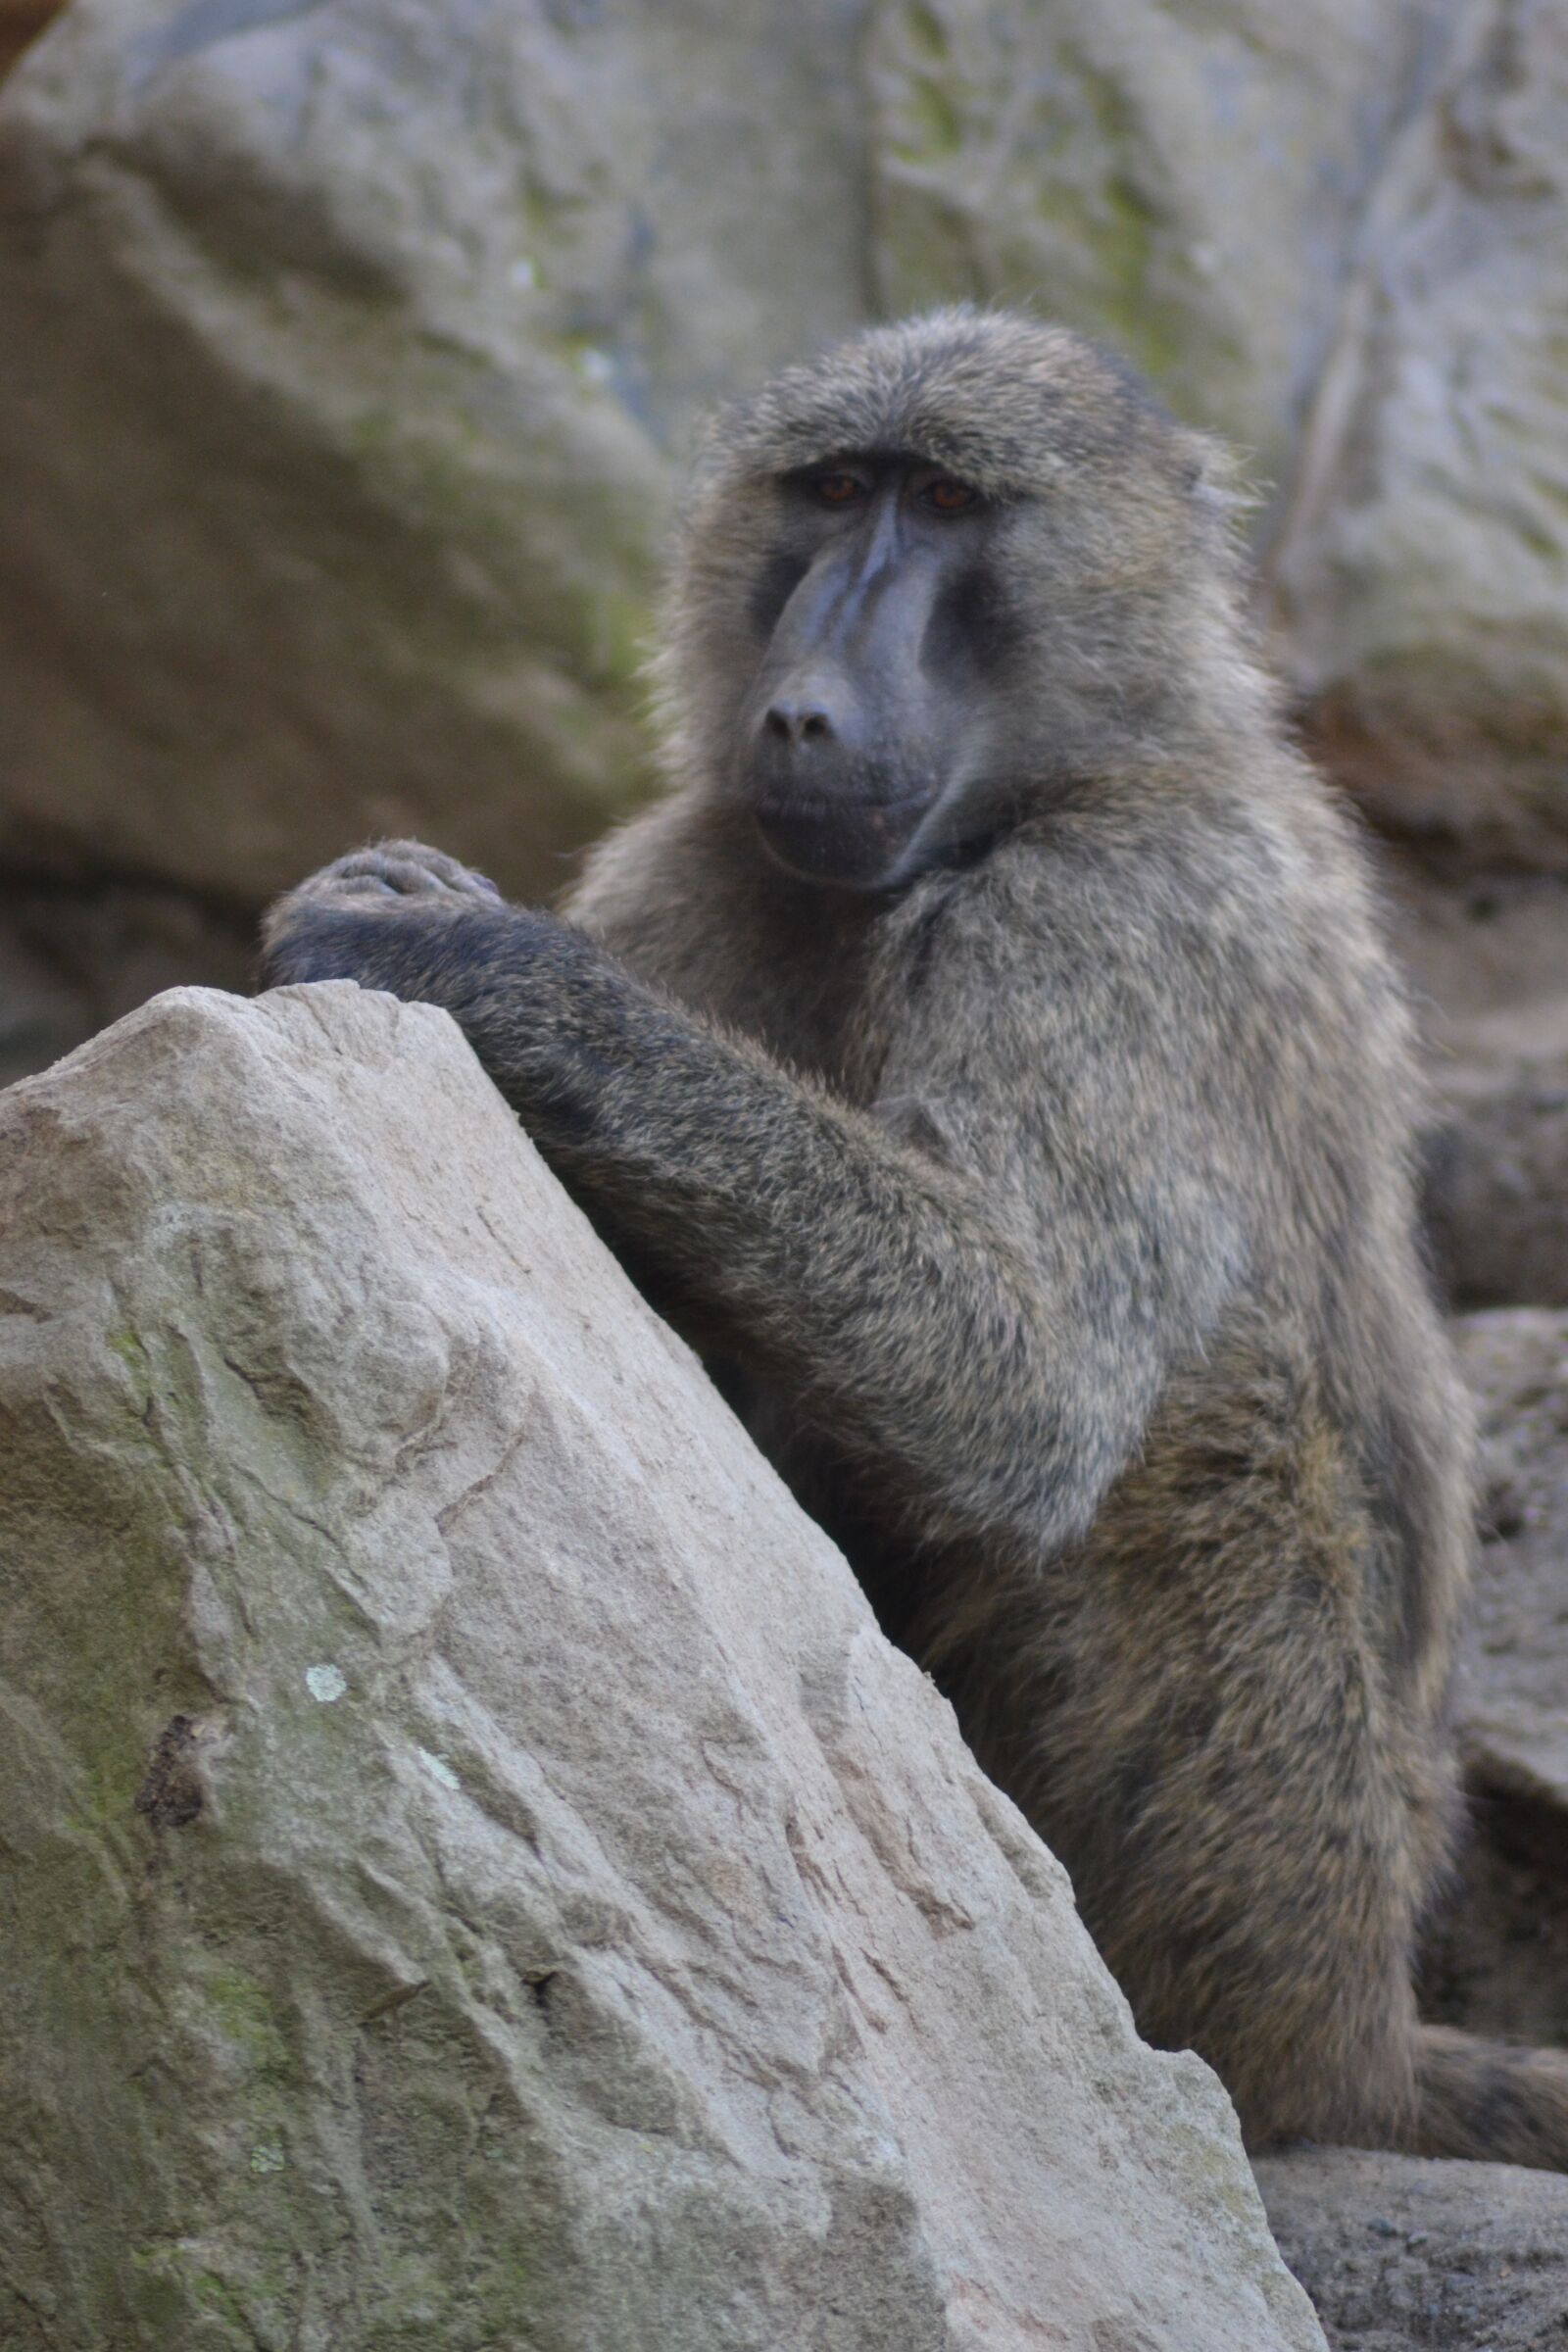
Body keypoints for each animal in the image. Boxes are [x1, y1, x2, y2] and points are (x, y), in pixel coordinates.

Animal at [260, 306, 1568, 2169]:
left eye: (947, 499)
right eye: (831, 492)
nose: (805, 709)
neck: (1064, 776)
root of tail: (1376, 2023)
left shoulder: (1115, 918)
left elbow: (1027, 1386)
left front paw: (474, 963)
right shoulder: (699, 863)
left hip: (1291, 1885)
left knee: (1203, 1429)